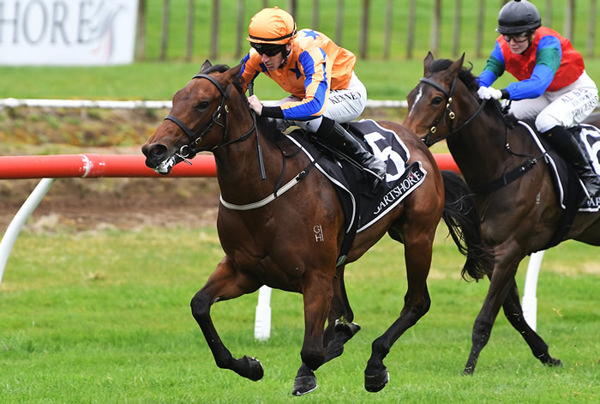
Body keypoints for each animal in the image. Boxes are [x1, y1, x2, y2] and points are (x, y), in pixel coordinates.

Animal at [400, 52, 600, 378]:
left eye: (436, 99)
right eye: (409, 97)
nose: (408, 141)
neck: (504, 165)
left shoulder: (511, 249)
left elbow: (486, 316)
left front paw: (468, 368)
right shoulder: (495, 251)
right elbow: (513, 311)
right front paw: (547, 355)